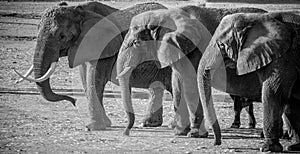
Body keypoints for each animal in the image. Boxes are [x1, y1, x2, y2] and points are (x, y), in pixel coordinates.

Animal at [13, 1, 173, 130]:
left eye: (62, 36)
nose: (73, 101)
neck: (80, 10)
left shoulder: (104, 46)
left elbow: (94, 79)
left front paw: (93, 127)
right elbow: (85, 78)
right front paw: (105, 124)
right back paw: (149, 124)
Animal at [197, 11, 300, 152]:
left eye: (222, 45)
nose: (216, 143)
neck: (255, 17)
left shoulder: (284, 58)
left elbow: (273, 94)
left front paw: (268, 148)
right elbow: (290, 102)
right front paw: (294, 146)